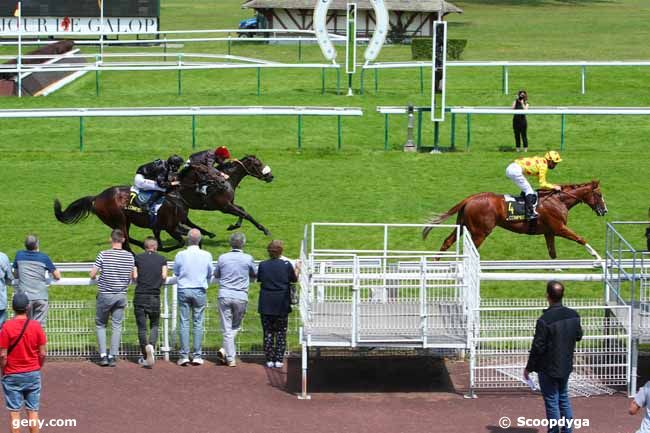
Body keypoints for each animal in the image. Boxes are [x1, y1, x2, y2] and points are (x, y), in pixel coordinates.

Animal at [53, 186, 187, 253]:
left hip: (122, 221)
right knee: (126, 240)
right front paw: (162, 249)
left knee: (126, 238)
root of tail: (97, 197)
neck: (174, 201)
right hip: (119, 219)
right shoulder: (170, 228)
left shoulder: (162, 227)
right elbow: (181, 242)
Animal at [422, 180, 604, 258]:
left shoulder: (549, 231)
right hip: (480, 231)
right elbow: (581, 238)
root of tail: (470, 198)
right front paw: (597, 257)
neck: (558, 200)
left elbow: (552, 252)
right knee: (471, 247)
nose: (604, 210)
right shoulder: (559, 228)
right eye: (600, 195)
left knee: (447, 241)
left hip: (463, 225)